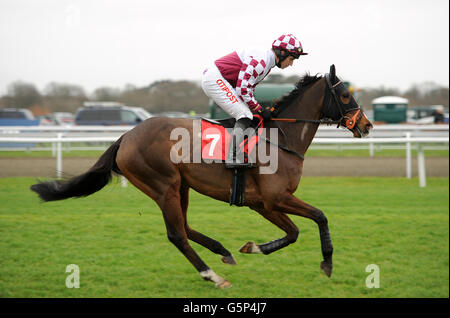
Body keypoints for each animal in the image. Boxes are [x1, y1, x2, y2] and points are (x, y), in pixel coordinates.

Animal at [29, 64, 370, 288]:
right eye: (344, 95)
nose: (366, 125)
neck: (280, 139)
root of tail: (125, 136)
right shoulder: (276, 198)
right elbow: (320, 216)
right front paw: (327, 262)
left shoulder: (264, 204)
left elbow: (294, 232)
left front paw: (252, 247)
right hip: (163, 186)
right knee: (176, 234)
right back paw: (212, 275)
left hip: (182, 187)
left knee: (186, 226)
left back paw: (224, 252)